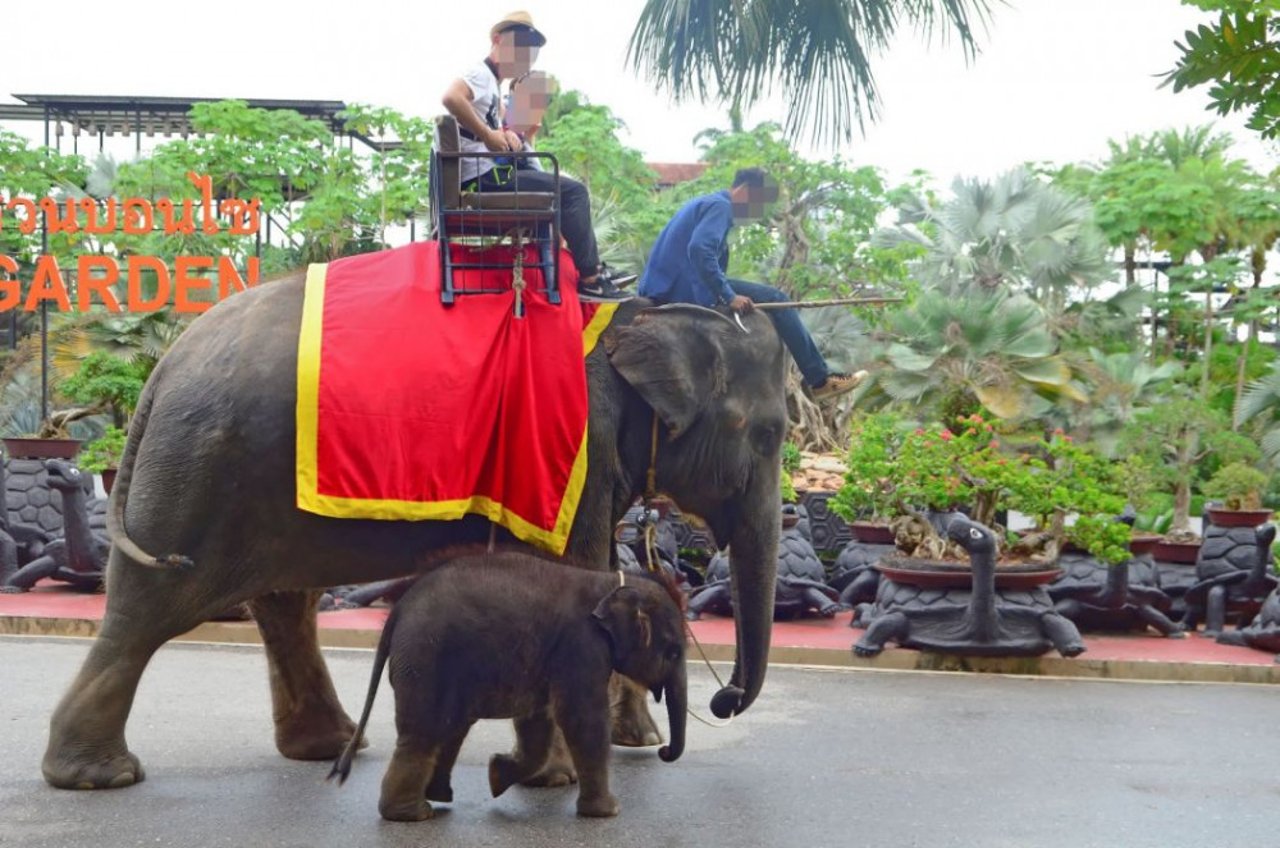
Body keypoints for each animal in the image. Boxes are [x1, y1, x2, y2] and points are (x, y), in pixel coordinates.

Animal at [42, 275, 788, 794]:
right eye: (770, 433)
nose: (725, 699)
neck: (646, 316)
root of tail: (163, 368)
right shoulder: (568, 444)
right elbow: (571, 572)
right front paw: (560, 778)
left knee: (284, 601)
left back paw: (328, 746)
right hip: (200, 471)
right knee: (150, 609)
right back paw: (99, 777)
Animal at [332, 550, 691, 824]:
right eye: (674, 651)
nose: (663, 751)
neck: (609, 583)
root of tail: (398, 609)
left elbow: (538, 721)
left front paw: (496, 775)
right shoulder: (581, 646)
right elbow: (583, 719)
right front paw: (608, 812)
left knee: (450, 727)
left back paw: (436, 797)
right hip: (426, 659)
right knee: (425, 731)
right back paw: (413, 814)